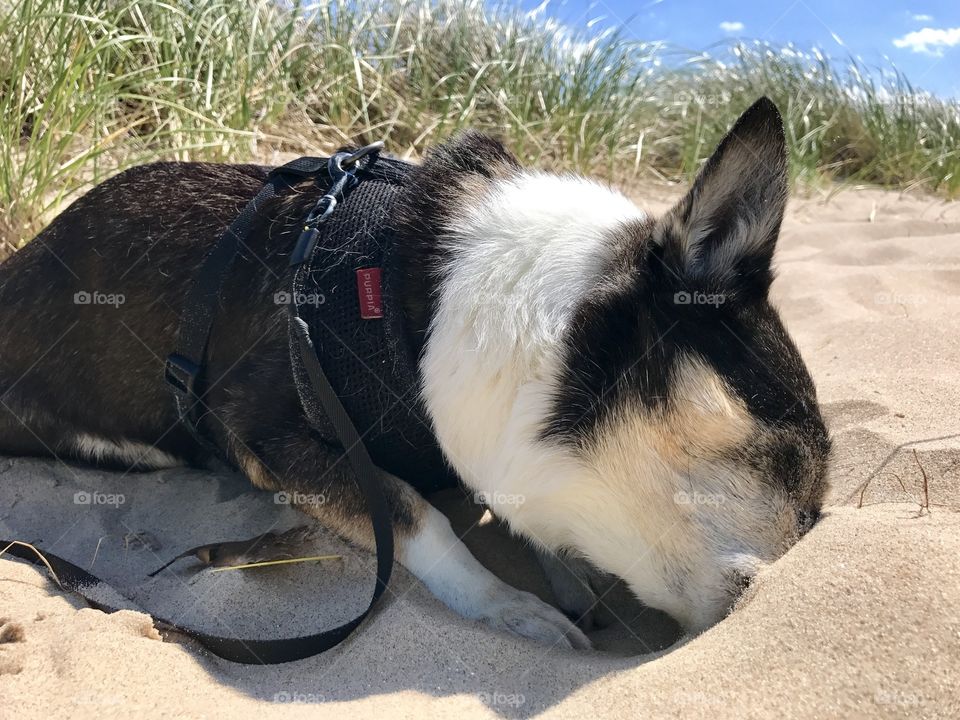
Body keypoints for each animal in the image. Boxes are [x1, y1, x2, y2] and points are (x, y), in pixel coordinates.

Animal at [0, 98, 824, 648]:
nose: (778, 598)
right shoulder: (262, 436)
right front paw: (511, 607)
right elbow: (412, 510)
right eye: (788, 461)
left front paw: (564, 576)